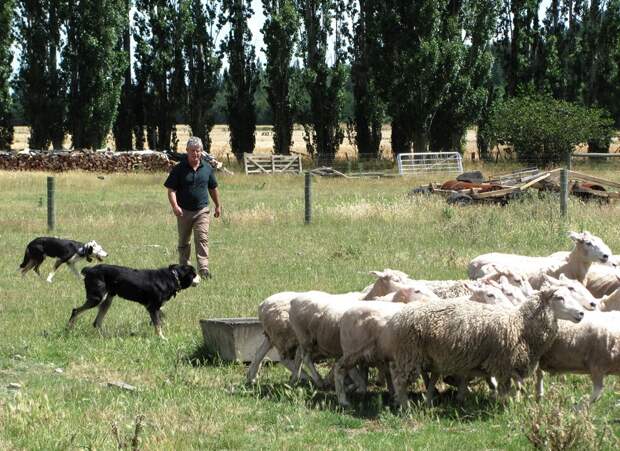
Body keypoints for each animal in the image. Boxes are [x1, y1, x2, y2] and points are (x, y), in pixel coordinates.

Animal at [70, 264, 201, 340]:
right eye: (194, 274)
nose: (201, 278)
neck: (173, 277)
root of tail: (89, 269)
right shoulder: (152, 307)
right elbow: (158, 324)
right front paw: (161, 338)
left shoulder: (155, 308)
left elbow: (160, 319)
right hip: (97, 298)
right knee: (76, 310)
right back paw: (69, 328)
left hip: (107, 300)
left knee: (97, 322)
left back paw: (105, 336)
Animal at [386, 278, 584, 412]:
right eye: (559, 298)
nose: (581, 313)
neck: (521, 325)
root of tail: (398, 317)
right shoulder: (502, 363)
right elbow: (505, 387)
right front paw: (506, 406)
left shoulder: (512, 365)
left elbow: (515, 385)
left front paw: (514, 402)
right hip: (409, 353)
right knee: (399, 379)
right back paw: (405, 407)